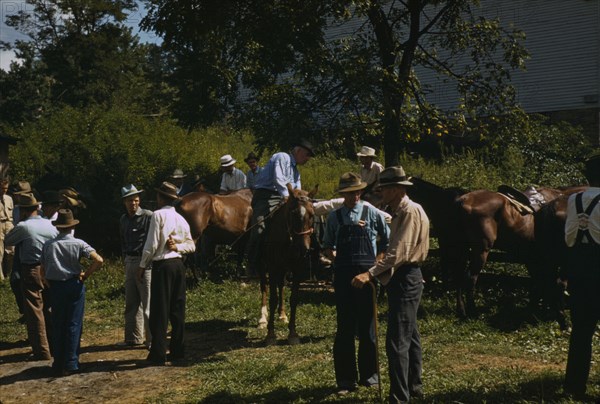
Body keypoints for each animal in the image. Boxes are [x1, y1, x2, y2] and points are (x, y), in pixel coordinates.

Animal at [258, 183, 318, 344]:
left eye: (312, 215)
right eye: (293, 214)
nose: (303, 248)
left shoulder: (297, 269)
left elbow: (294, 298)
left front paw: (293, 334)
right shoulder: (272, 268)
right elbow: (273, 298)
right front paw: (270, 335)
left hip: (283, 269)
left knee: (281, 285)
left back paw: (282, 314)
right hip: (264, 266)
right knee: (264, 287)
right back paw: (262, 319)